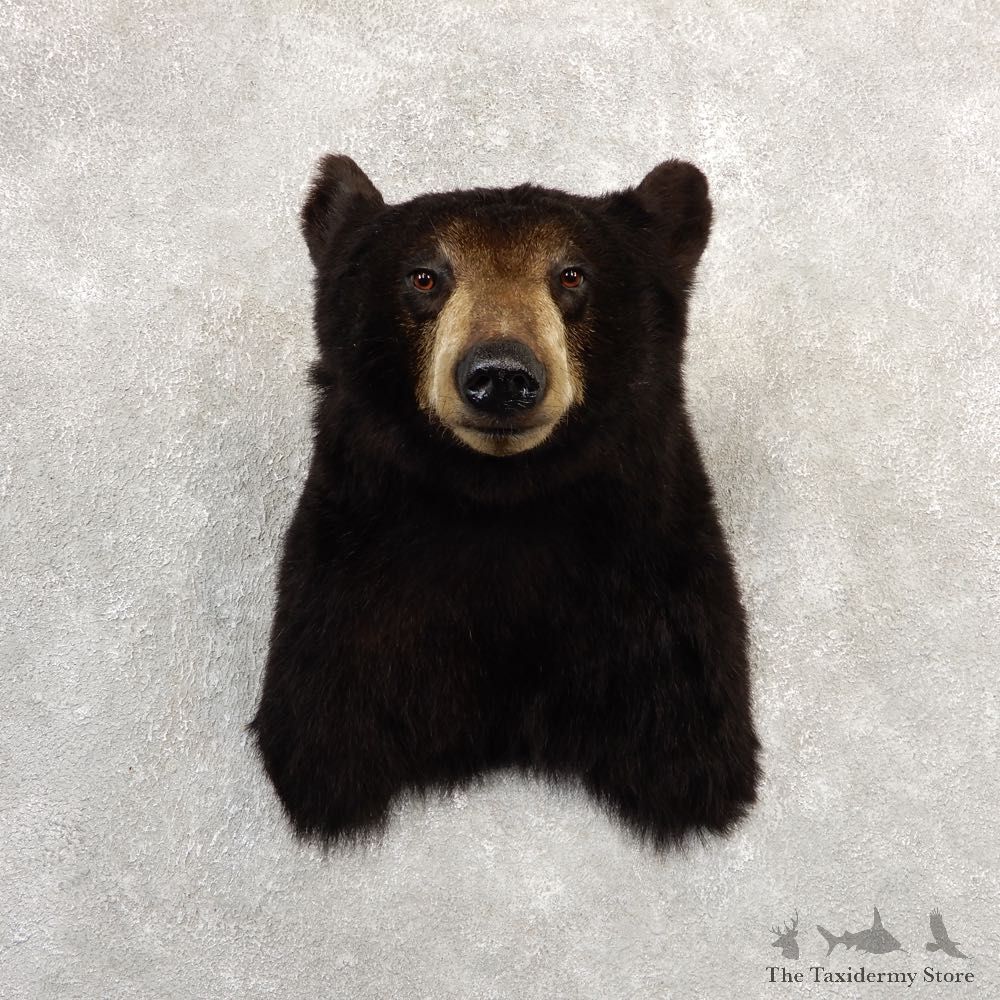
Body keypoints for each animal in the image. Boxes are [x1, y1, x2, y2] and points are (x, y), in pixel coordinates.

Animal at [249, 154, 761, 849]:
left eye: (571, 274)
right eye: (426, 275)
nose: (501, 374)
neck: (503, 502)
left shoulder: (658, 598)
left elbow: (685, 709)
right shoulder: (347, 585)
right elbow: (323, 710)